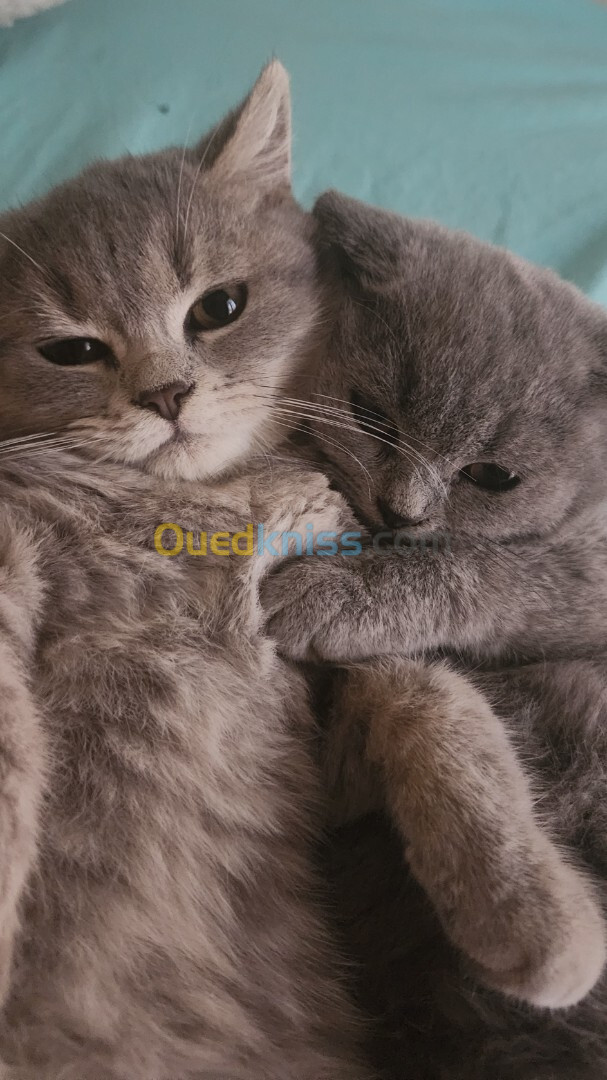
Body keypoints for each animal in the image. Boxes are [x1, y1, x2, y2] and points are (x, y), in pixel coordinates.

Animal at [263, 194, 607, 1080]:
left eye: (491, 477)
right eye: (369, 415)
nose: (403, 509)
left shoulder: (585, 569)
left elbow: (490, 566)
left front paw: (338, 593)